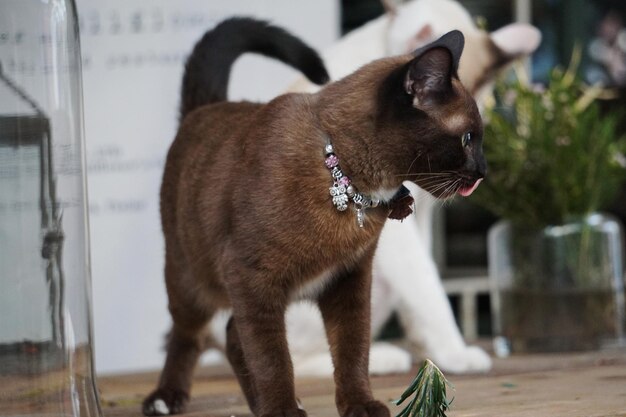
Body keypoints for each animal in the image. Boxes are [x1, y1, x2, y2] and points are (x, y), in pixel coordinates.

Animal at [141, 17, 482, 416]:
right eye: (468, 138)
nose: (483, 172)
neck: (345, 182)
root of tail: (204, 109)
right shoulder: (253, 279)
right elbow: (273, 360)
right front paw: (282, 411)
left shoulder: (349, 280)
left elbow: (352, 353)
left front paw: (359, 405)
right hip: (190, 282)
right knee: (188, 335)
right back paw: (166, 398)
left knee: (231, 337)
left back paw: (258, 405)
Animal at [207, 0, 540, 374]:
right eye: (466, 136)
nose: (480, 172)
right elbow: (428, 286)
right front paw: (455, 353)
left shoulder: (418, 211)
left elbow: (423, 284)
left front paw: (433, 352)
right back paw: (381, 357)